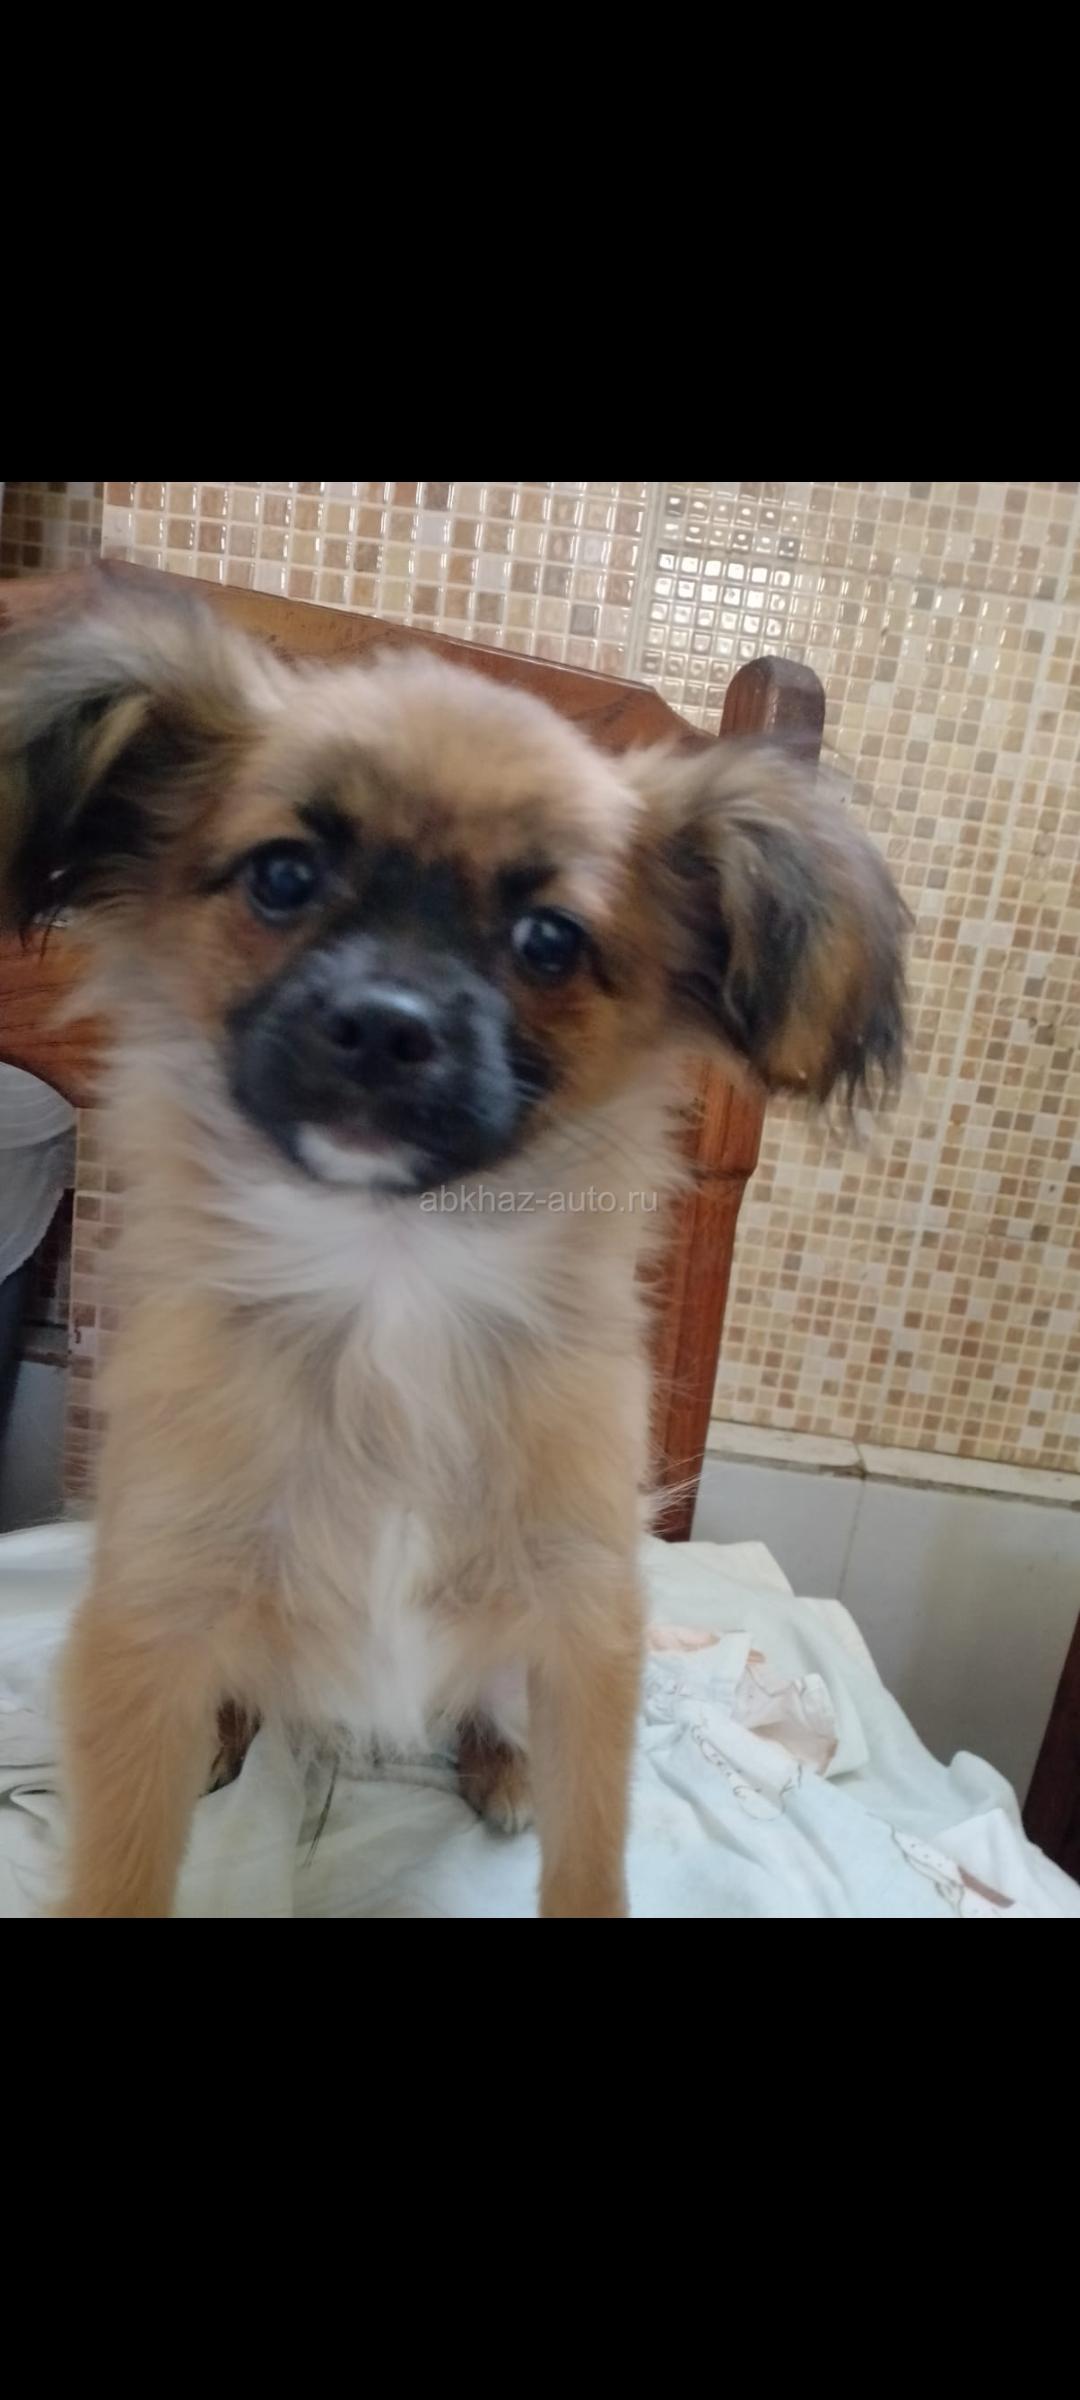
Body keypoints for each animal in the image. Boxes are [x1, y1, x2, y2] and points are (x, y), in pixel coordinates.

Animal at [0, 570, 905, 1917]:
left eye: (550, 942)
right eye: (283, 875)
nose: (386, 1025)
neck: (396, 1275)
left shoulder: (585, 1619)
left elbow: (590, 1852)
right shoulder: (153, 1607)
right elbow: (121, 1857)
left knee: (492, 1703)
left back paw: (499, 1760)